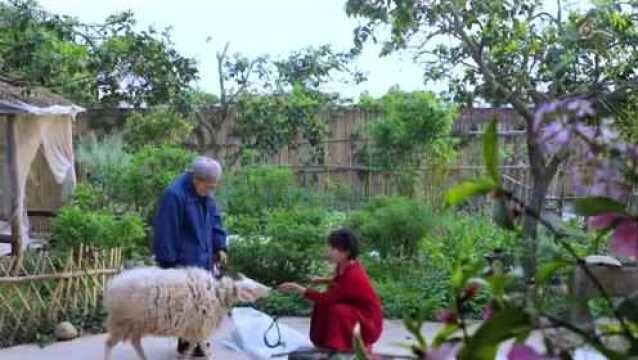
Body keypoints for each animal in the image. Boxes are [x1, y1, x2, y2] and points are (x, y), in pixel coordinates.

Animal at [104, 266, 272, 358]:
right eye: (254, 288)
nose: (270, 289)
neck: (218, 295)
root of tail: (112, 285)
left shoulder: (195, 328)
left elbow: (193, 346)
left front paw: (187, 355)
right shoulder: (200, 326)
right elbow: (202, 347)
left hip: (135, 324)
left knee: (135, 342)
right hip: (122, 322)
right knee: (109, 344)